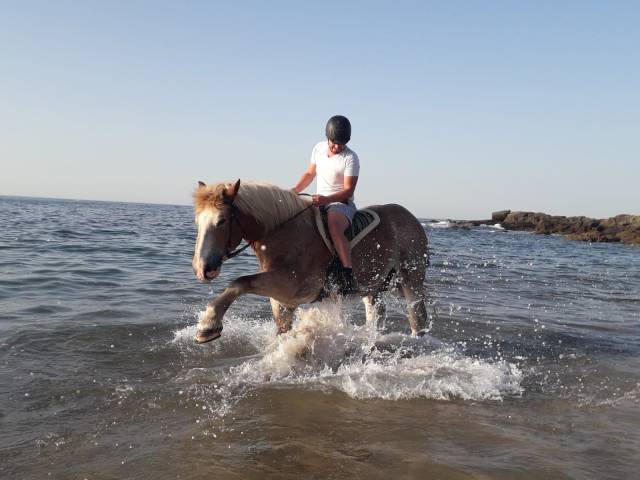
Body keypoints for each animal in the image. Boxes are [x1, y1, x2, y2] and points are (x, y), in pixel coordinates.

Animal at [192, 179, 430, 344]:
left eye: (221, 221)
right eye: (197, 221)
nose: (202, 268)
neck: (283, 233)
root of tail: (412, 218)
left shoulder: (290, 286)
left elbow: (239, 282)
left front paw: (208, 325)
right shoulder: (281, 300)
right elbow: (281, 331)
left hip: (411, 281)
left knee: (418, 318)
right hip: (374, 288)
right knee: (376, 317)